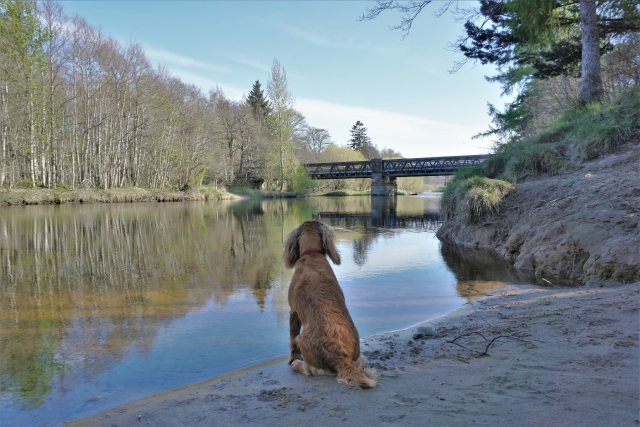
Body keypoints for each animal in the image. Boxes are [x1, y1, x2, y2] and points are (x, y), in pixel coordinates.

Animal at [282, 219, 378, 390]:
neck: (311, 256)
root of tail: (339, 358)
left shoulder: (293, 311)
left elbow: (291, 338)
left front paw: (292, 357)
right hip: (357, 355)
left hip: (303, 340)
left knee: (309, 369)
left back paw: (297, 365)